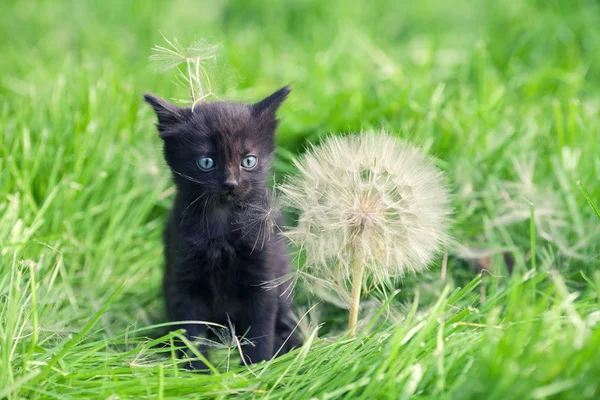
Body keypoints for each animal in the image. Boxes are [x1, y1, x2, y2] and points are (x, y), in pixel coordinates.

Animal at [145, 86, 302, 368]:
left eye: (248, 161)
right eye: (206, 162)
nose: (230, 183)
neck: (222, 229)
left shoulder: (263, 277)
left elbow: (260, 330)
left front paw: (257, 368)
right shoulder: (184, 280)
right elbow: (191, 334)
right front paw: (196, 371)